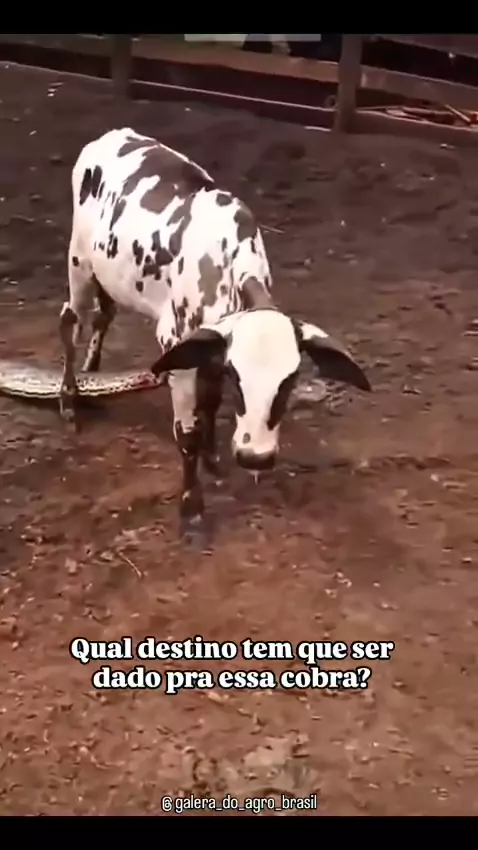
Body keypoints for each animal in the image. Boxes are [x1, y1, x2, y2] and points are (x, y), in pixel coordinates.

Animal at [60, 127, 371, 541]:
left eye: (290, 381)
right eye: (239, 379)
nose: (255, 456)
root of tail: (112, 135)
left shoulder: (211, 345)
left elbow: (209, 402)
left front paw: (212, 459)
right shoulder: (177, 347)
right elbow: (187, 432)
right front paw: (192, 508)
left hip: (107, 271)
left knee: (103, 314)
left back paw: (91, 375)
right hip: (78, 261)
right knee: (70, 321)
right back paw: (69, 400)